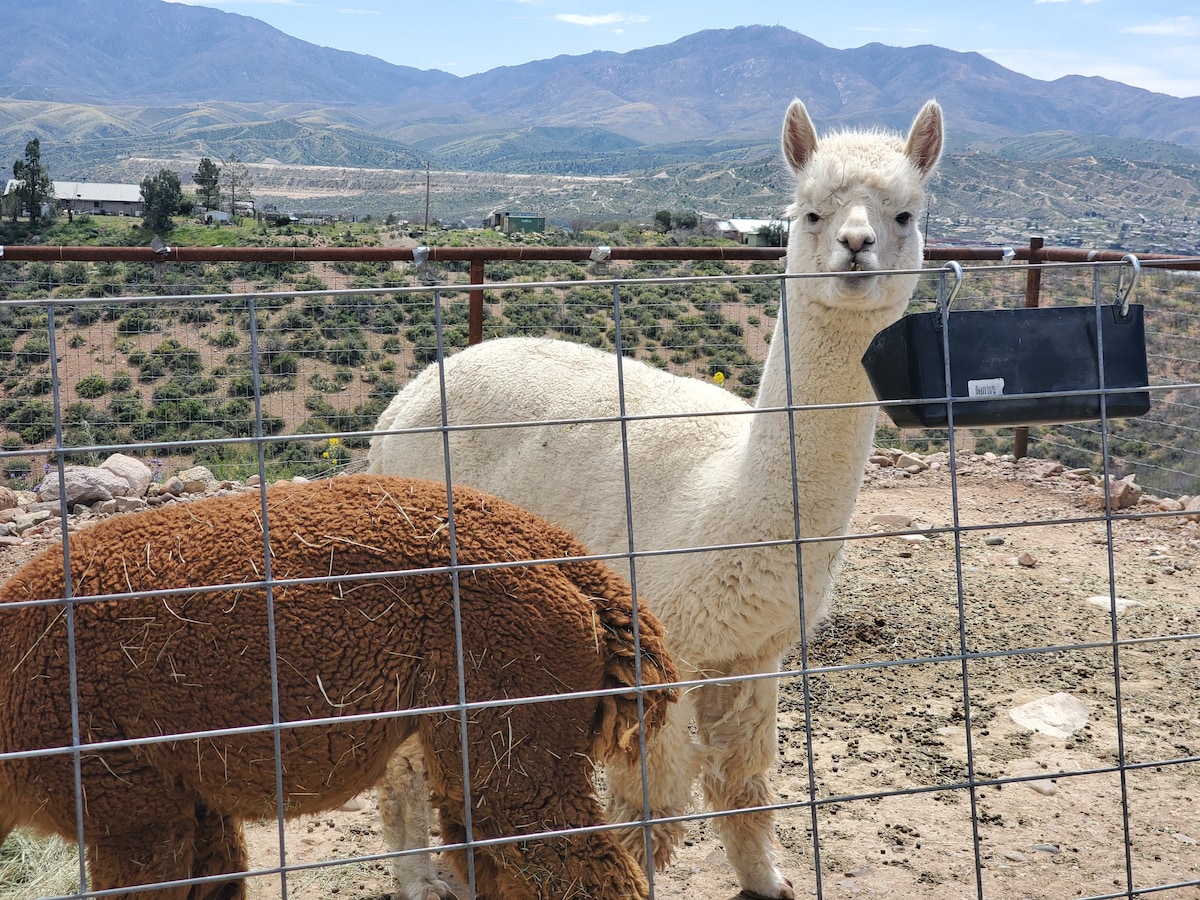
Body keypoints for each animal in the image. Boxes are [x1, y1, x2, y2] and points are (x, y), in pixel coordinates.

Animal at [366, 98, 943, 900]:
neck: (728, 498)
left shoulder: (751, 652)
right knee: (404, 758)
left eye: (905, 215)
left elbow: (744, 786)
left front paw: (768, 881)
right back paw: (422, 880)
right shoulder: (663, 648)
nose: (855, 247)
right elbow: (653, 811)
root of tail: (412, 392)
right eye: (810, 213)